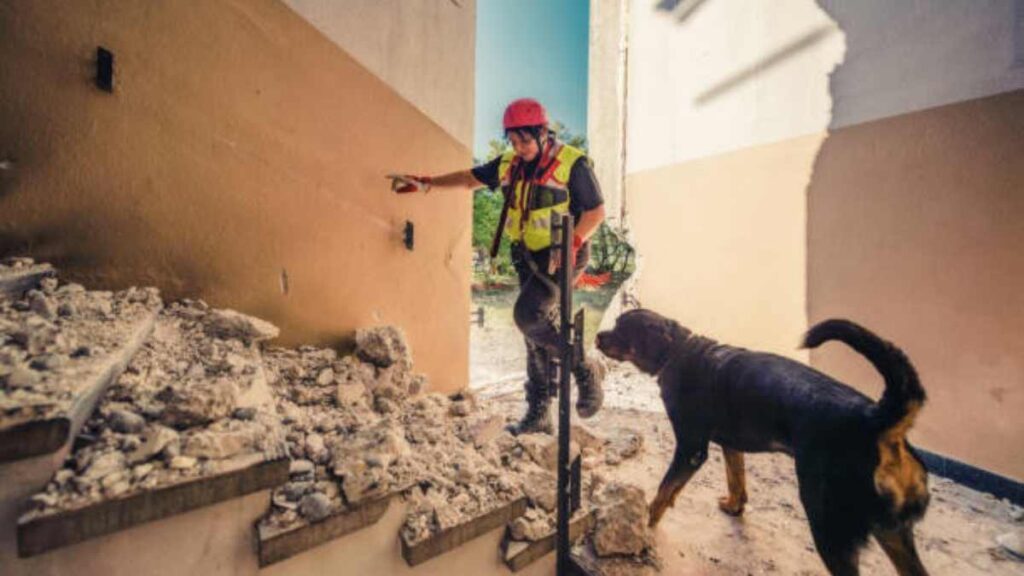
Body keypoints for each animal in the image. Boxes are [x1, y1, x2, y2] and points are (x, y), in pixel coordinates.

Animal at [598, 309, 933, 573]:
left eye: (621, 327)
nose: (598, 335)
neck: (678, 351)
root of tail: (878, 419)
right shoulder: (731, 444)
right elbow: (736, 478)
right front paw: (734, 507)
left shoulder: (691, 449)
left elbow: (664, 491)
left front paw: (644, 521)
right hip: (893, 533)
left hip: (829, 523)